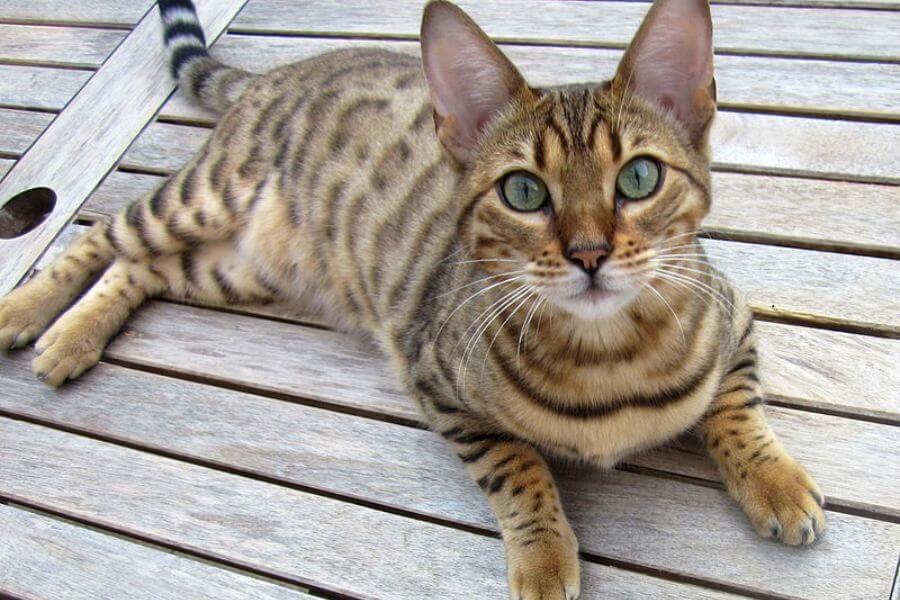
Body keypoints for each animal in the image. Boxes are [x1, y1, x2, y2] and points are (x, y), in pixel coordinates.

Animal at [0, 0, 828, 596]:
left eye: (640, 178)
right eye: (523, 192)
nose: (589, 253)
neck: (607, 358)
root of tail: (273, 74)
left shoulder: (736, 319)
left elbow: (737, 410)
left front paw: (775, 483)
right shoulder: (437, 384)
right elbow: (517, 467)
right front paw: (543, 556)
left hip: (242, 266)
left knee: (143, 266)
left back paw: (73, 335)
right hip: (207, 196)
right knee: (109, 231)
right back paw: (30, 314)